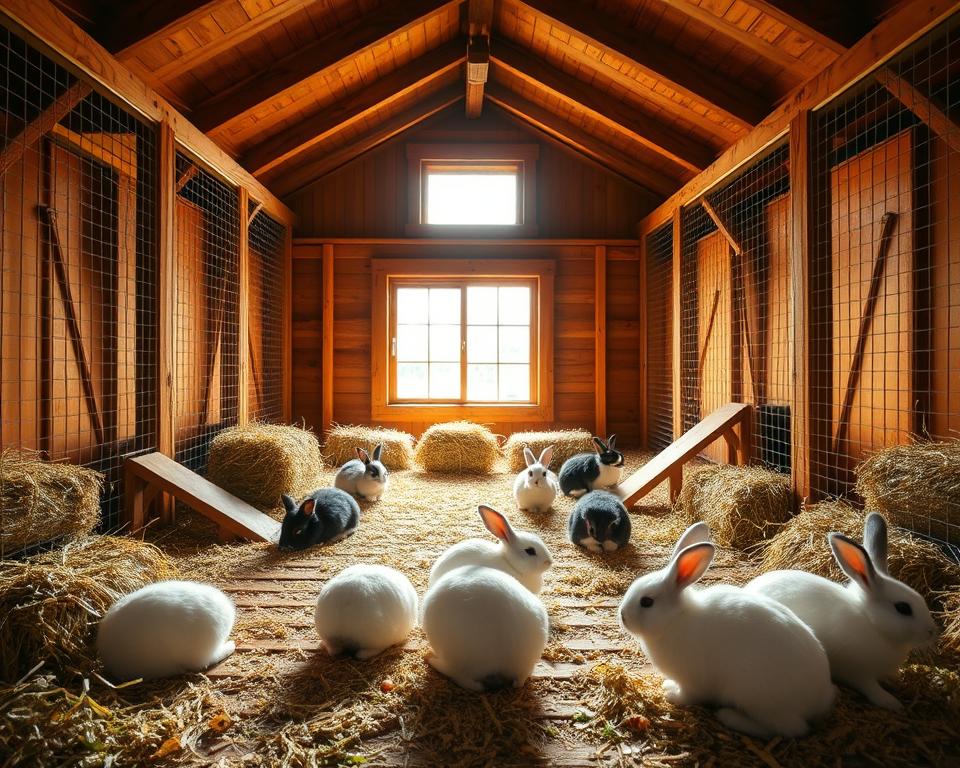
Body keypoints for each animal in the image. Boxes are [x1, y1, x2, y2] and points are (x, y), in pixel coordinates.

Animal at [618, 522, 835, 738]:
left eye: (647, 602)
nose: (622, 616)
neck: (675, 619)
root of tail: (820, 697)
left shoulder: (692, 681)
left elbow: (689, 695)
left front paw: (671, 693)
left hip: (754, 695)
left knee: (787, 728)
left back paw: (729, 716)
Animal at [745, 512, 939, 710]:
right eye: (903, 608)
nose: (932, 631)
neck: (871, 623)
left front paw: (895, 682)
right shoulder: (858, 674)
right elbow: (872, 689)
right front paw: (892, 703)